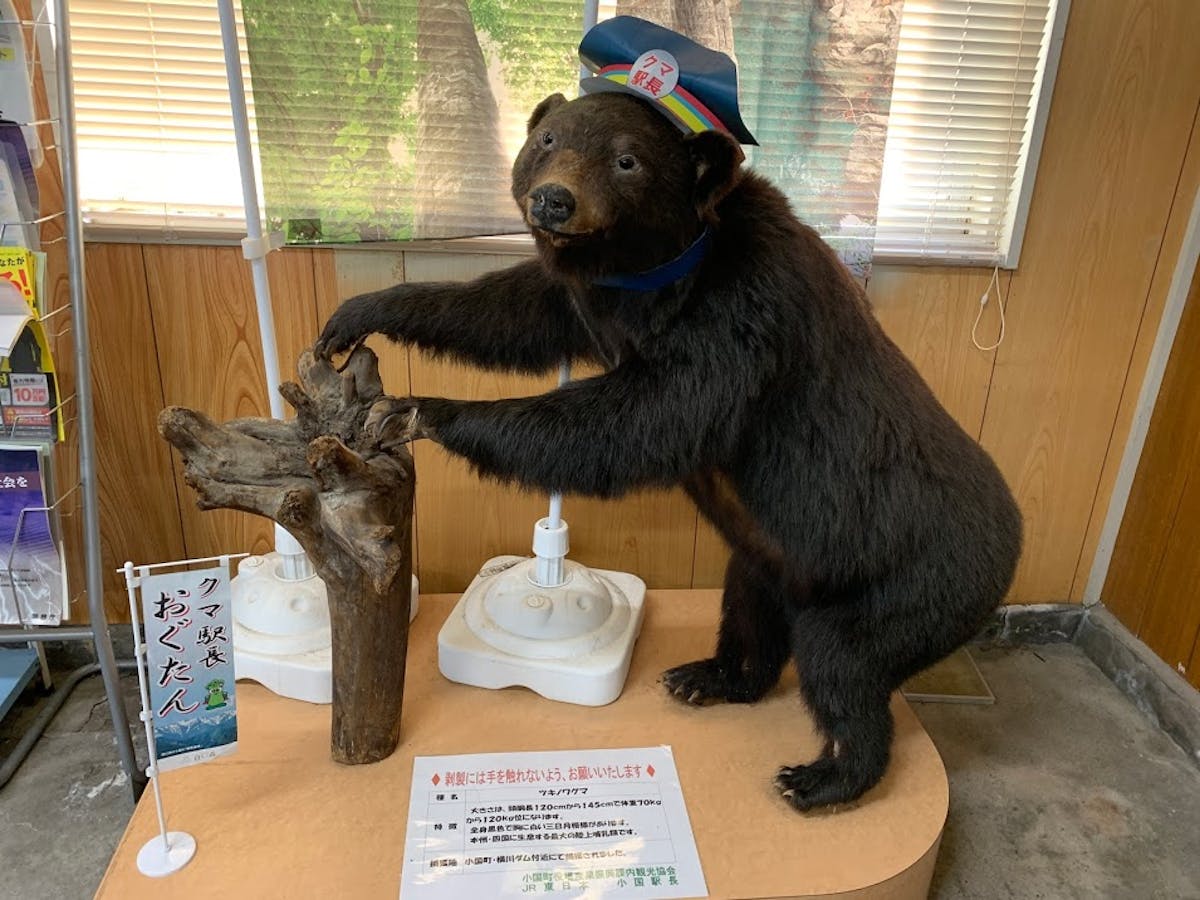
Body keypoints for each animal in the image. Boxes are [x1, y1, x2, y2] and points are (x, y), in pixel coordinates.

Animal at [316, 88, 1023, 812]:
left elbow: (650, 414)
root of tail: (1011, 546)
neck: (654, 278)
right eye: (548, 140)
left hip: (904, 586)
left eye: (627, 160)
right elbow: (512, 310)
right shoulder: (591, 303)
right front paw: (360, 312)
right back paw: (707, 677)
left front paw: (420, 409)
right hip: (767, 558)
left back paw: (820, 776)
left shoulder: (743, 313)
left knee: (845, 666)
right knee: (749, 615)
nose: (553, 200)